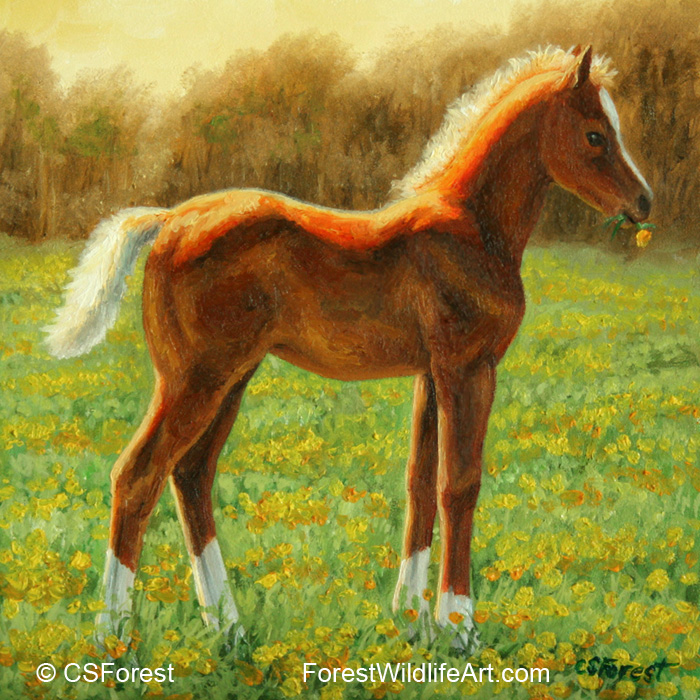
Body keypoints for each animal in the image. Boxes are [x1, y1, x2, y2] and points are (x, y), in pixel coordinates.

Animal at [46, 45, 651, 650]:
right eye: (595, 135)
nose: (644, 202)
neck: (471, 229)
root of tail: (169, 218)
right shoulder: (468, 370)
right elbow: (459, 486)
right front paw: (459, 628)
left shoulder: (430, 375)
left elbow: (420, 482)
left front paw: (410, 618)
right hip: (195, 379)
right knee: (136, 477)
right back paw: (114, 636)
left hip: (231, 378)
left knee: (191, 476)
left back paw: (229, 628)